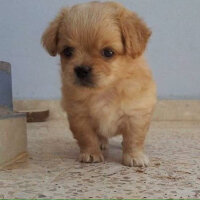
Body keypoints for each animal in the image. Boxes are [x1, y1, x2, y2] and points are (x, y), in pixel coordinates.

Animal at [41, 1, 157, 167]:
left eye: (108, 52)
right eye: (68, 51)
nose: (81, 70)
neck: (105, 91)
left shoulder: (136, 114)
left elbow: (134, 139)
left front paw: (134, 157)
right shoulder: (80, 116)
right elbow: (87, 137)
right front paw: (91, 153)